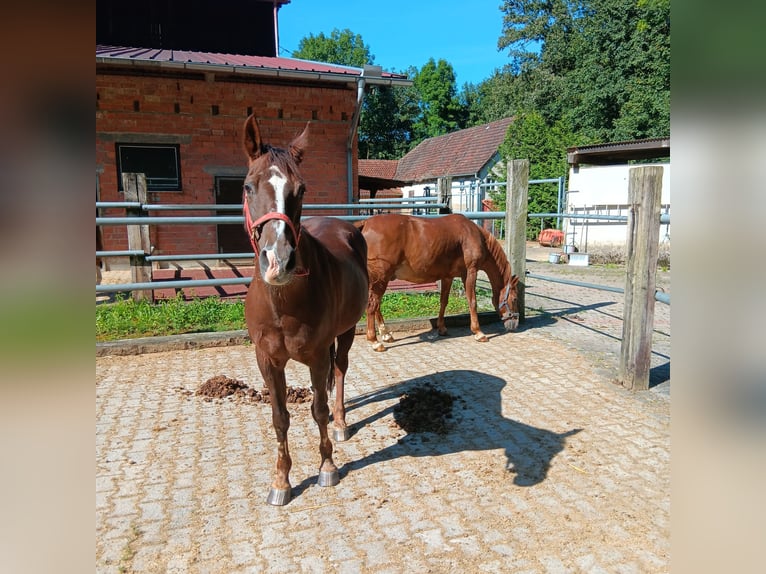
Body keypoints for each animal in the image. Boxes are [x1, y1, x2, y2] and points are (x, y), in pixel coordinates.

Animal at [242, 117, 370, 508]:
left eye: (300, 189)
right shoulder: (267, 360)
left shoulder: (316, 357)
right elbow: (280, 417)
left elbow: (318, 410)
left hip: (346, 332)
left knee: (339, 372)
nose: (278, 261)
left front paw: (327, 466)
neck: (283, 303)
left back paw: (342, 423)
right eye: (248, 186)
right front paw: (281, 481)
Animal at [356, 214, 520, 354]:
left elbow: (443, 302)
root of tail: (366, 224)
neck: (473, 234)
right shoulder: (470, 272)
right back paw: (375, 341)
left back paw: (386, 334)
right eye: (515, 298)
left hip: (380, 279)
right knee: (372, 305)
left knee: (376, 306)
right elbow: (472, 301)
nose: (515, 323)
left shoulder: (448, 277)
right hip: (381, 278)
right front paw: (478, 332)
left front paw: (442, 328)